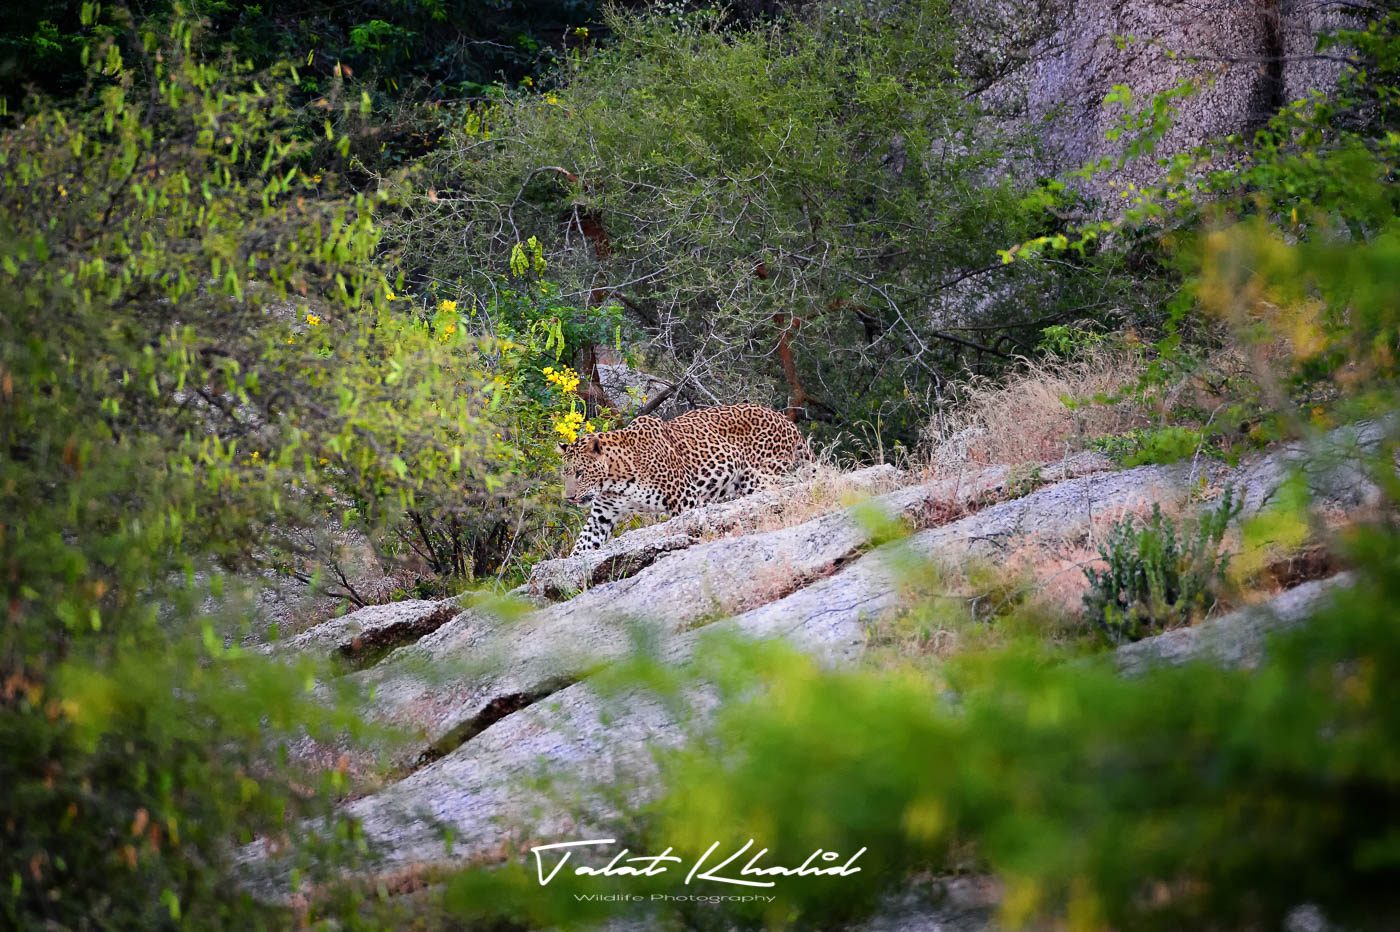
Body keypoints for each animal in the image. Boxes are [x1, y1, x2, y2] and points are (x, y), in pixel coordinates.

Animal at [559, 403, 811, 554]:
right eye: (565, 473)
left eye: (580, 473)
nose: (569, 498)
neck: (614, 481)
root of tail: (788, 422)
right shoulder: (602, 516)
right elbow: (583, 544)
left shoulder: (683, 498)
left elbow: (684, 526)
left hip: (758, 479)